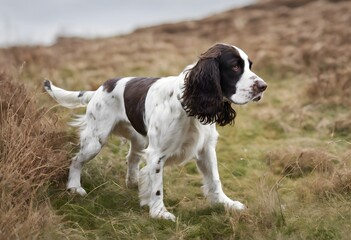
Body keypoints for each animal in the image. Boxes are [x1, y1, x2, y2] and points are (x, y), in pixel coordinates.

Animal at [45, 43, 268, 221]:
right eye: (235, 66)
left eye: (249, 65)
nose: (263, 86)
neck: (189, 104)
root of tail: (100, 88)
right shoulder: (157, 153)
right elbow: (157, 186)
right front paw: (160, 213)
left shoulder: (206, 149)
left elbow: (214, 179)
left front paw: (225, 203)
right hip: (95, 141)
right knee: (76, 160)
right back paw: (74, 187)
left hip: (138, 139)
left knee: (131, 158)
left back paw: (133, 182)